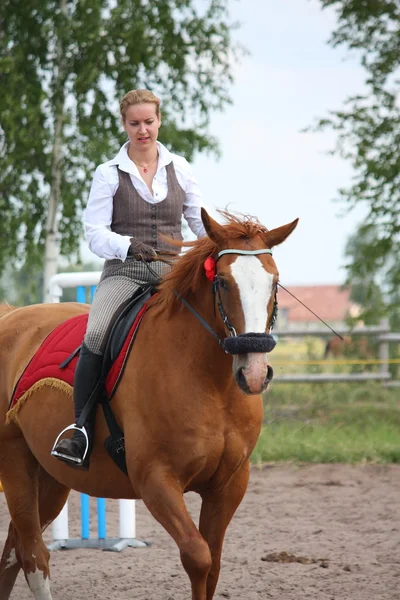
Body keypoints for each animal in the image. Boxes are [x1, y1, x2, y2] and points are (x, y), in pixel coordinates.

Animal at [0, 210, 296, 600]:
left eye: (274, 282)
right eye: (222, 283)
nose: (255, 372)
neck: (210, 382)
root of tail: (10, 316)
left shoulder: (229, 484)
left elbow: (213, 565)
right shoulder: (156, 480)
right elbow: (198, 557)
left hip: (50, 477)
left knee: (13, 552)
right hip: (15, 461)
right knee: (33, 554)